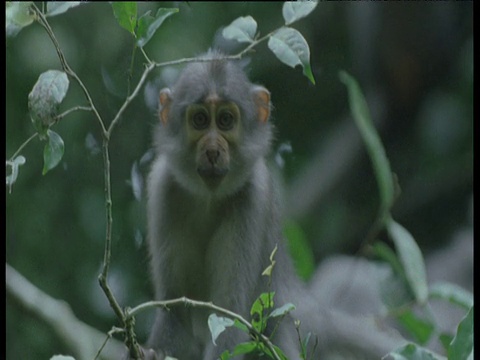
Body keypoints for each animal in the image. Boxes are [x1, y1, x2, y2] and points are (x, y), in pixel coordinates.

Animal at [137, 53, 406, 360]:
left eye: (226, 120)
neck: (208, 197)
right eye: (200, 120)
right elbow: (175, 313)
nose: (213, 151)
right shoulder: (163, 188)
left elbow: (229, 317)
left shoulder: (253, 196)